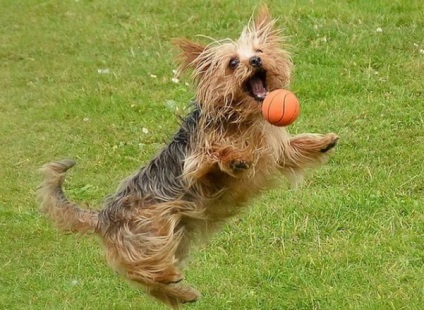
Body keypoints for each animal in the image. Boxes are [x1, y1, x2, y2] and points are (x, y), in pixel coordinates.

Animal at [37, 6, 338, 308]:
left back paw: (180, 293)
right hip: (148, 236)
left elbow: (293, 149)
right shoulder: (196, 162)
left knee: (151, 280)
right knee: (143, 271)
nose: (254, 60)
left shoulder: (275, 151)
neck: (242, 119)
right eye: (232, 63)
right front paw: (234, 158)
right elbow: (214, 156)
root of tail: (102, 216)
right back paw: (174, 283)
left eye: (259, 50)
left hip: (175, 237)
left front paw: (322, 142)